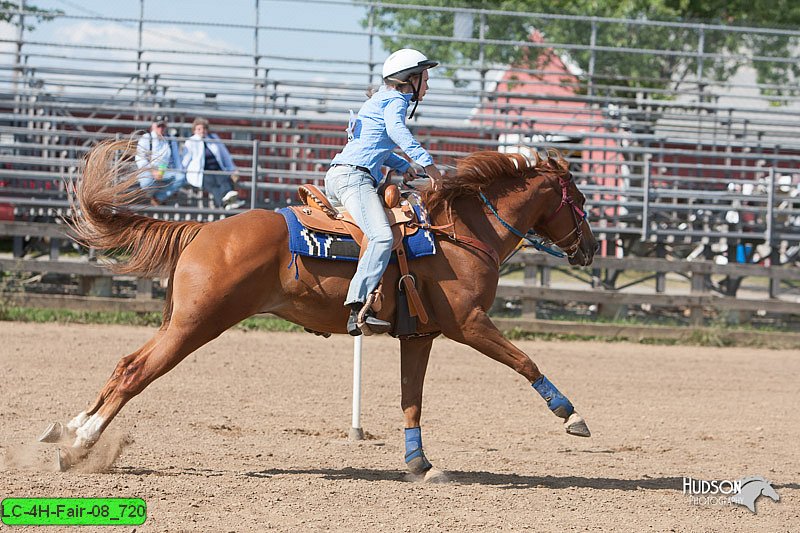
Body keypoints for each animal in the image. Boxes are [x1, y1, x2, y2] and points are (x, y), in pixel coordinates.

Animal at [40, 139, 596, 476]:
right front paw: (571, 415)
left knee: (125, 364)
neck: (458, 233)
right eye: (582, 201)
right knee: (137, 373)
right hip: (196, 326)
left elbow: (411, 399)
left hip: (181, 322)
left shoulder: (419, 335)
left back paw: (67, 429)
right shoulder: (469, 324)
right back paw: (81, 442)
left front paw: (419, 464)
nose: (590, 248)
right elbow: (524, 360)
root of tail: (202, 230)